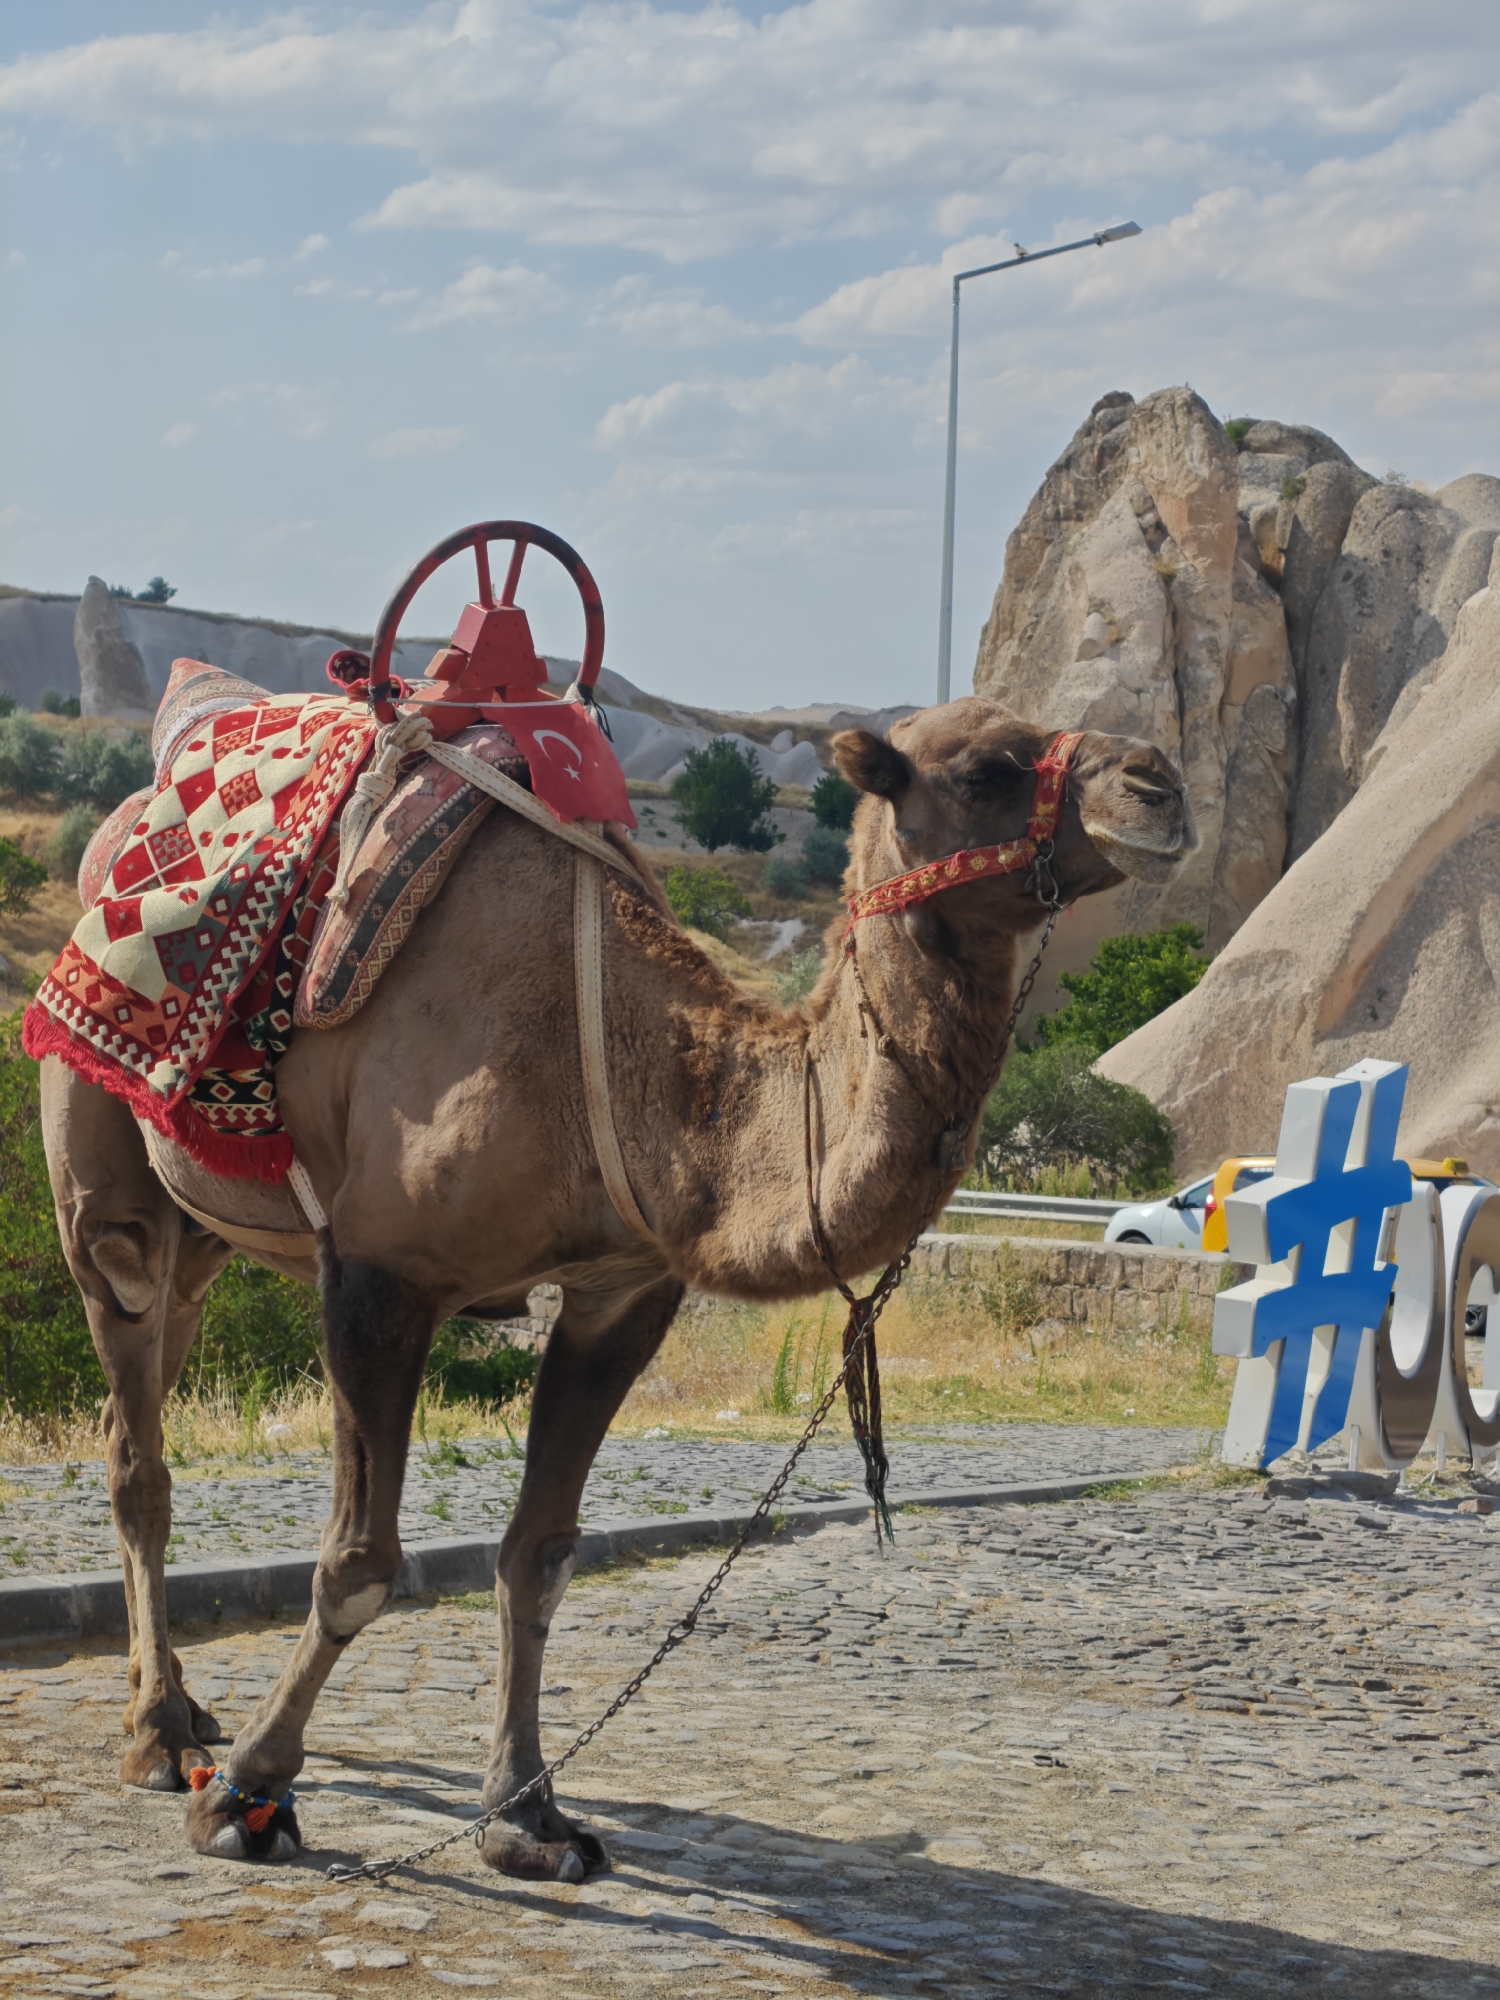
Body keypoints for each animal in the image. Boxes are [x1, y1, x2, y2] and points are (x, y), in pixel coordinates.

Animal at [39, 696, 1196, 1877]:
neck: (631, 1068)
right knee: (136, 1440)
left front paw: (527, 1815)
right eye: (989, 767)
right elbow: (358, 1560)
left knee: (151, 1390)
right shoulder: (379, 1270)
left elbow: (540, 1554)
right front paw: (248, 1796)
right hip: (104, 1184)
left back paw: (182, 1705)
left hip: (205, 1236)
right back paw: (161, 1737)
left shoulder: (622, 1293)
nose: (1162, 786)